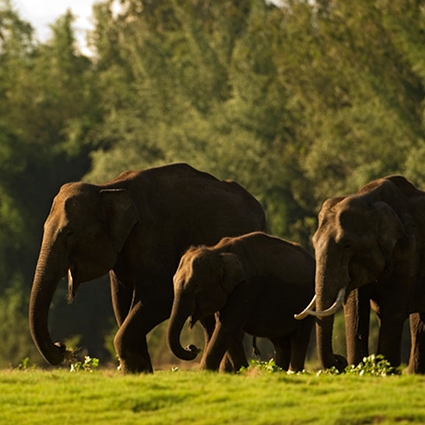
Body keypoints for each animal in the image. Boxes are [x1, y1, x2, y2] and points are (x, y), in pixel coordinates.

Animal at [29, 162, 264, 372]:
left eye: (69, 233)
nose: (61, 346)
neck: (107, 187)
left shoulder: (153, 237)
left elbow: (160, 297)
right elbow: (121, 303)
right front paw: (138, 373)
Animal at [166, 230, 314, 370]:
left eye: (196, 285)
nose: (192, 348)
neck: (218, 252)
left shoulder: (244, 289)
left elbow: (227, 326)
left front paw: (205, 372)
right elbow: (230, 331)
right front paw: (242, 369)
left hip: (307, 303)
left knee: (299, 338)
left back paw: (293, 371)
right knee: (280, 342)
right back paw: (279, 370)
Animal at [296, 175, 425, 372]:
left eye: (347, 245)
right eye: (314, 244)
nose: (339, 360)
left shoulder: (409, 250)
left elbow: (393, 309)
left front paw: (385, 372)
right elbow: (356, 309)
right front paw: (359, 369)